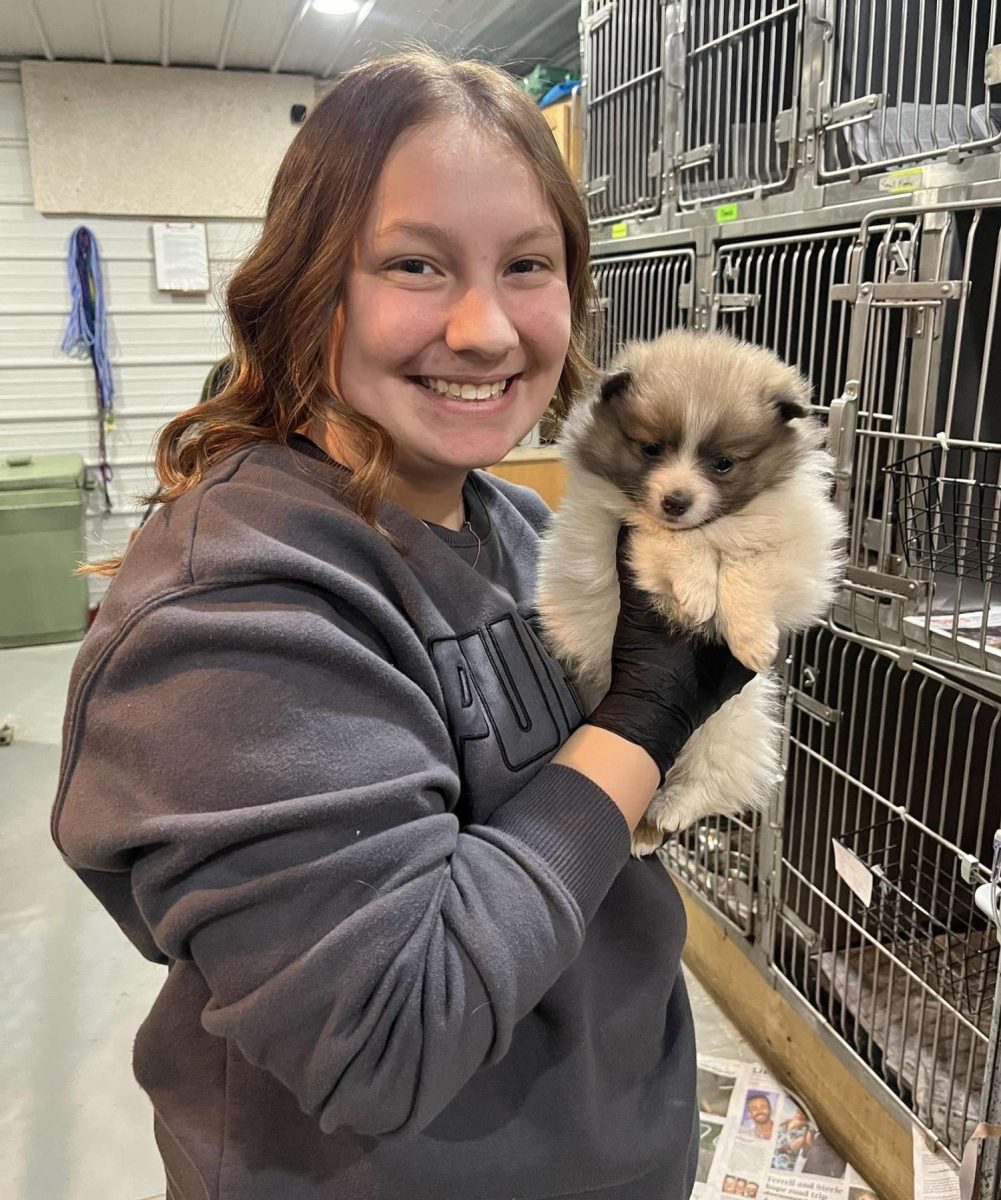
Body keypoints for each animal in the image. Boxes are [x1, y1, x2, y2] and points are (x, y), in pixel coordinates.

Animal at [535, 328, 840, 854]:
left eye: (722, 463)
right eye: (651, 450)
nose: (676, 501)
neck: (714, 525)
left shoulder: (803, 548)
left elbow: (750, 566)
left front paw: (752, 639)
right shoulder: (613, 526)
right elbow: (668, 538)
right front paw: (697, 593)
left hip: (732, 729)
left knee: (706, 784)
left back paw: (668, 812)